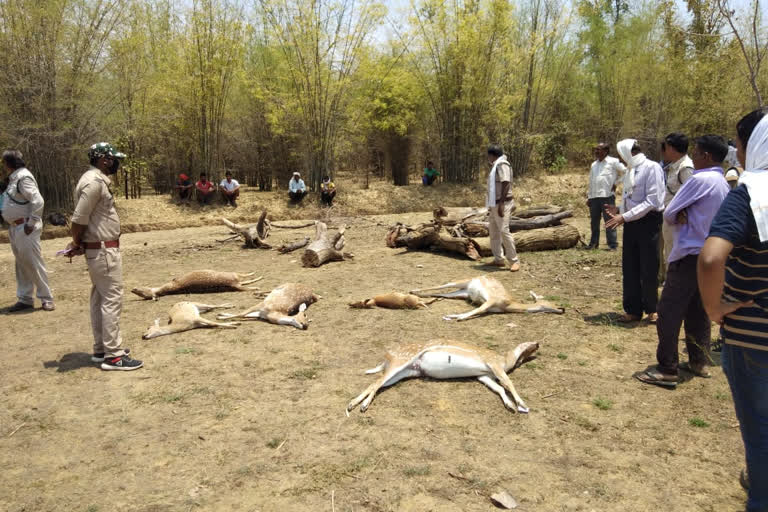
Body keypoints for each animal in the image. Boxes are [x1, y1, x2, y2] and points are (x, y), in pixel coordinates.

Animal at [348, 340, 540, 416]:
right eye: (528, 345)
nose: (538, 344)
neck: (504, 360)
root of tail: (386, 358)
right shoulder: (493, 365)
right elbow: (508, 382)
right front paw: (522, 404)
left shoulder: (483, 375)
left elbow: (499, 387)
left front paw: (511, 406)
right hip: (400, 362)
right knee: (376, 382)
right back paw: (359, 405)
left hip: (406, 372)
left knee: (377, 383)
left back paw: (355, 405)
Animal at [408, 276, 564, 320]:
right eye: (551, 301)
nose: (562, 308)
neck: (509, 304)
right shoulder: (490, 301)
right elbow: (475, 311)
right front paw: (454, 317)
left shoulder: (489, 308)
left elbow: (476, 311)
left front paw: (451, 316)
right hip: (459, 282)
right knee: (442, 284)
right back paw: (413, 290)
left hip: (461, 293)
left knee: (442, 294)